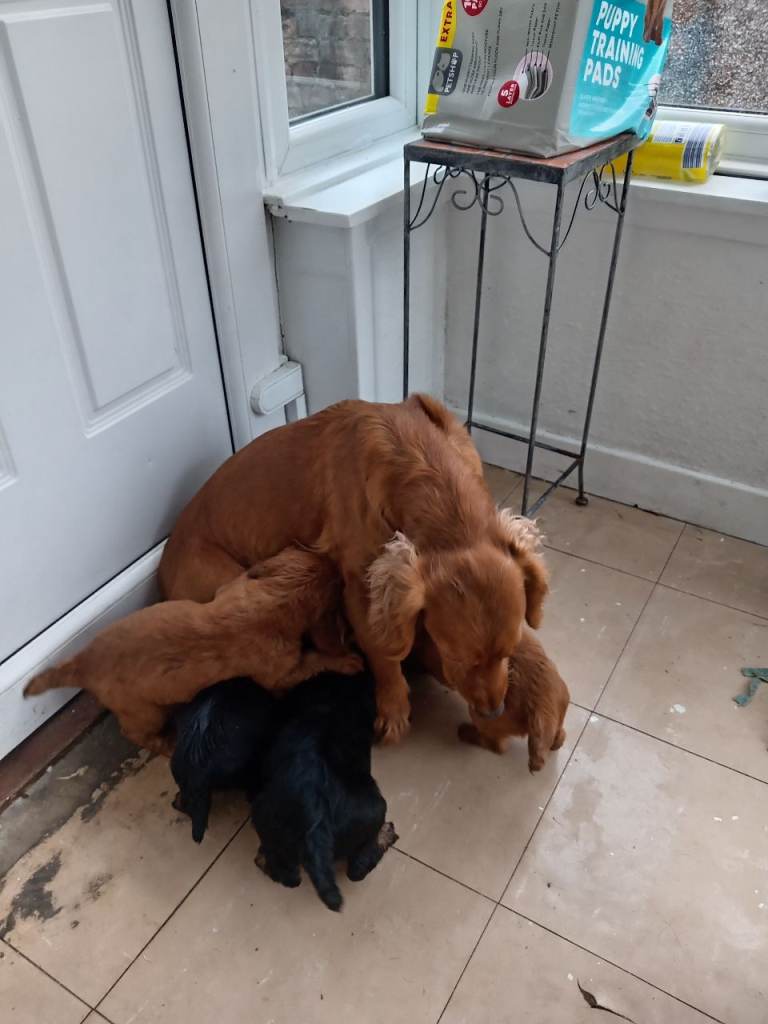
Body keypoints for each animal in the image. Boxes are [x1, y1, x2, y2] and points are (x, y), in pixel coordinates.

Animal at [24, 548, 361, 755]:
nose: (334, 559)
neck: (273, 603)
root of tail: (84, 661)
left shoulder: (232, 589)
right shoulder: (280, 673)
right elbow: (315, 661)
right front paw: (347, 660)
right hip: (144, 712)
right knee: (137, 733)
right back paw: (167, 744)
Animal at [158, 395, 549, 743]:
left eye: (510, 649)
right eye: (457, 655)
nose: (494, 711)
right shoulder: (361, 586)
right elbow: (383, 652)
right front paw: (394, 707)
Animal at [251, 672, 398, 911]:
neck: (331, 702)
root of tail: (315, 818)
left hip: (262, 813)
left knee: (282, 872)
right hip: (376, 807)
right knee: (356, 870)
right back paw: (385, 835)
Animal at [414, 627, 569, 772]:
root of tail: (539, 702)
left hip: (480, 715)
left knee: (496, 745)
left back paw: (466, 733)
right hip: (558, 715)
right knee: (560, 733)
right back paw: (555, 743)